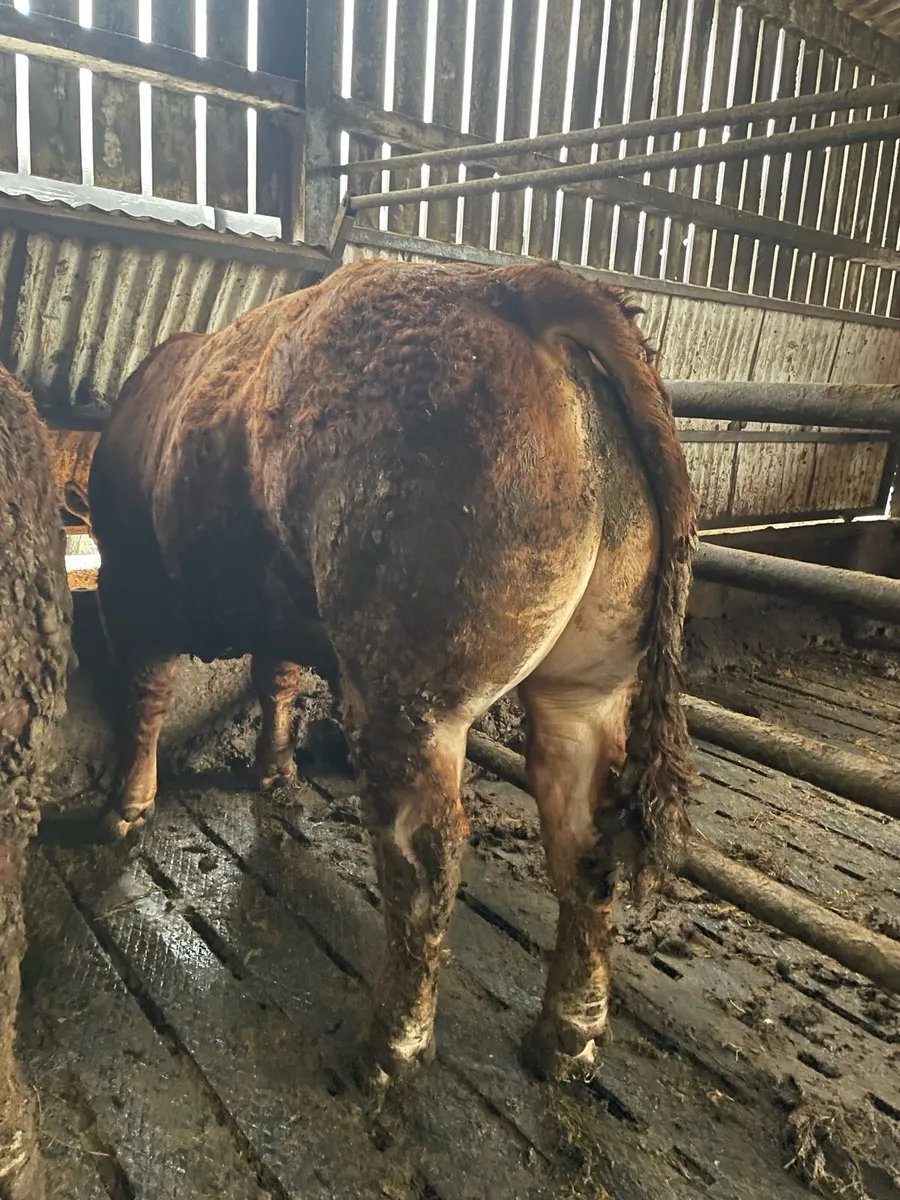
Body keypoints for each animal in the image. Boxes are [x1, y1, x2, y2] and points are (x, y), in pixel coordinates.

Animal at [88, 258, 696, 1085]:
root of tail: (514, 287)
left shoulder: (130, 585)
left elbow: (147, 698)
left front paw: (127, 807)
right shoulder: (278, 607)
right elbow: (276, 680)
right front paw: (273, 772)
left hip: (407, 692)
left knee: (425, 855)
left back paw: (389, 1047)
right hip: (589, 686)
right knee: (583, 838)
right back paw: (566, 1036)